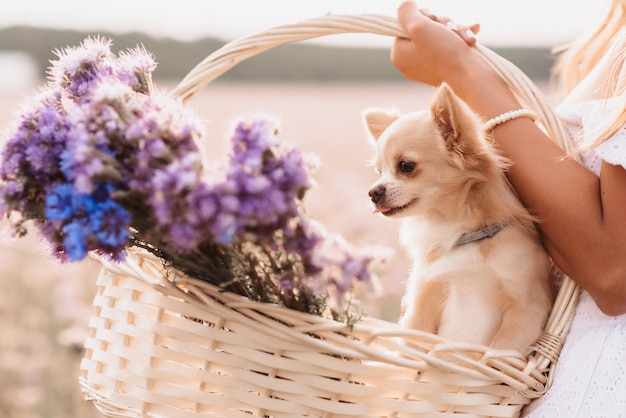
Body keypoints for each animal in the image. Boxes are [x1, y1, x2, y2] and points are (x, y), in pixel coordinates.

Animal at [364, 83, 548, 352]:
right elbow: (411, 348)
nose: (373, 192)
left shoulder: (526, 310)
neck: (463, 233)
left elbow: (495, 351)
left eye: (406, 166)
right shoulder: (422, 303)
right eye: (379, 172)